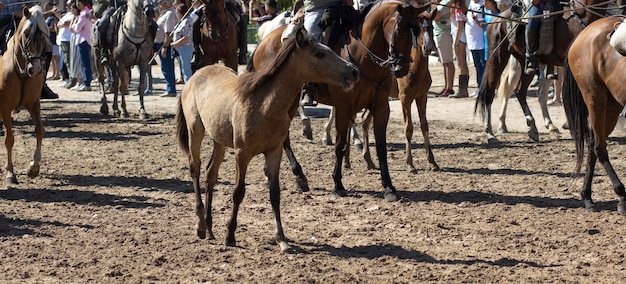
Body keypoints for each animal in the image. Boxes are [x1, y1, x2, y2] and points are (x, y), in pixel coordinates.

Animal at [0, 5, 48, 185]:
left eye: (44, 34)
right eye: (27, 33)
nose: (36, 69)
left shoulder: (33, 103)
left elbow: (40, 130)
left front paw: (33, 168)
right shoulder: (5, 107)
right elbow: (9, 139)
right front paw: (10, 173)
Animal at [176, 25, 358, 252]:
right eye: (319, 53)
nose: (354, 70)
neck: (263, 105)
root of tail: (194, 76)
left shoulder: (274, 152)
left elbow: (274, 193)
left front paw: (282, 239)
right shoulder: (242, 154)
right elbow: (238, 191)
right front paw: (230, 235)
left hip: (219, 140)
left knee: (210, 174)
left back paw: (209, 229)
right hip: (195, 131)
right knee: (195, 169)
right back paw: (200, 226)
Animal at [249, 1, 428, 202]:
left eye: (417, 29)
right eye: (399, 28)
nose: (401, 68)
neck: (362, 56)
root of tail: (263, 42)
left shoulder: (381, 107)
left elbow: (381, 148)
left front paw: (389, 187)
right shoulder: (343, 107)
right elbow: (340, 144)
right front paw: (338, 184)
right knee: (284, 137)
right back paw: (299, 175)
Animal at [472, 0, 604, 142]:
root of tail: (497, 19)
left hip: (526, 63)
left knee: (521, 91)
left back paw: (534, 126)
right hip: (497, 58)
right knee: (491, 92)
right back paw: (491, 132)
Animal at [564, 16, 624, 213]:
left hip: (612, 105)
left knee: (592, 144)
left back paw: (588, 197)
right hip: (594, 97)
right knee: (598, 146)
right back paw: (621, 195)